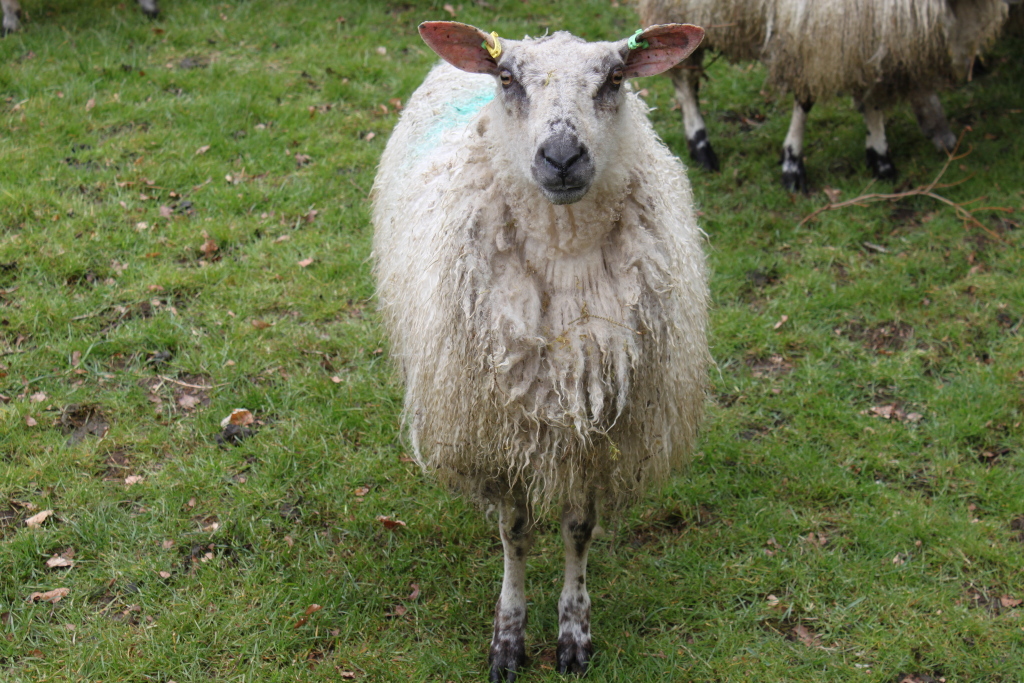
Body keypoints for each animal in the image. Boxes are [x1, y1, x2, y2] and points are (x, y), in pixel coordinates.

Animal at [372, 20, 710, 681]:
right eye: (508, 78)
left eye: (615, 77)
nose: (561, 158)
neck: (564, 249)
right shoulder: (500, 431)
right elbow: (516, 531)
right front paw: (508, 637)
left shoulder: (594, 430)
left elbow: (578, 529)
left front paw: (574, 633)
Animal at [638, 0, 1009, 191]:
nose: (949, 142)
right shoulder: (813, 34)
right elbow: (805, 101)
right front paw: (793, 163)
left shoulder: (867, 33)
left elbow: (872, 96)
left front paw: (880, 156)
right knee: (685, 82)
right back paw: (701, 144)